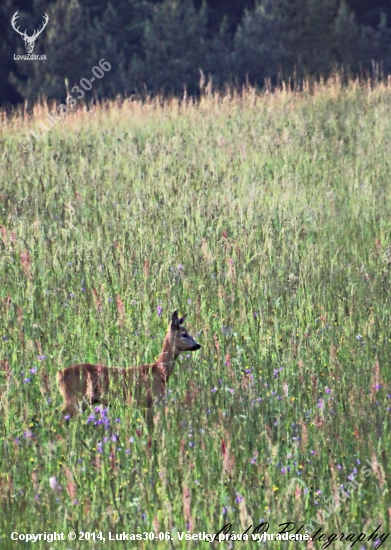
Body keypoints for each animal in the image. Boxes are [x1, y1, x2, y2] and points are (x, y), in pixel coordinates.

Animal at [57, 312, 202, 424]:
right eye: (184, 334)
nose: (198, 345)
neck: (160, 371)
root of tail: (59, 374)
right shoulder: (147, 401)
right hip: (74, 398)